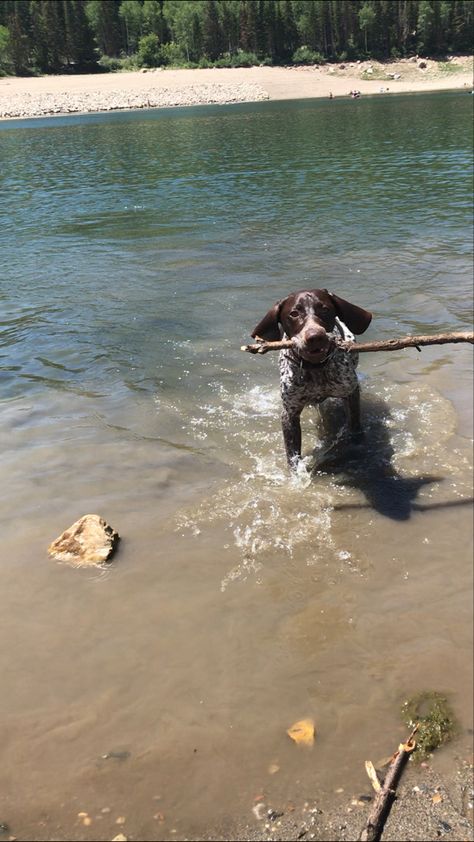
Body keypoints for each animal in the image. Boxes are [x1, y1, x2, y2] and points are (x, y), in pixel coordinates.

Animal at [252, 290, 374, 470]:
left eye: (324, 309)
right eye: (294, 314)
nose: (315, 336)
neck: (315, 368)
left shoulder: (351, 392)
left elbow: (355, 425)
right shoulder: (289, 413)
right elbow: (293, 456)